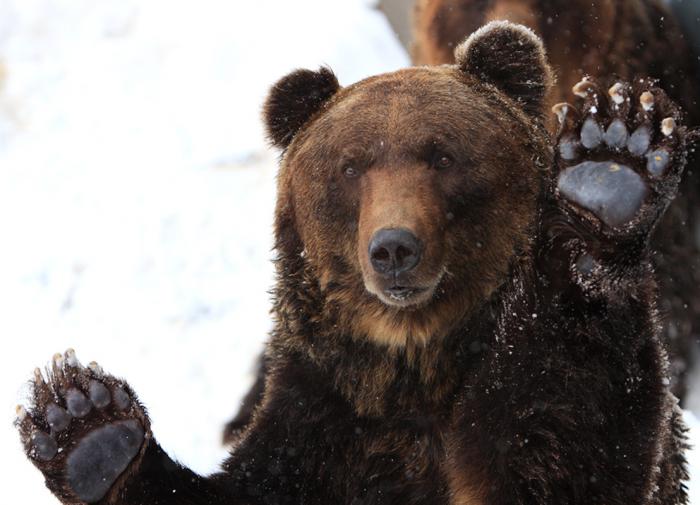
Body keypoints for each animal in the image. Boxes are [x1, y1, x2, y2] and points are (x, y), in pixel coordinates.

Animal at [15, 21, 696, 504]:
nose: (393, 247)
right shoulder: (322, 421)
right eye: (350, 167)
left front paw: (611, 161)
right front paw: (84, 423)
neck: (417, 367)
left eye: (442, 155)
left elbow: (566, 437)